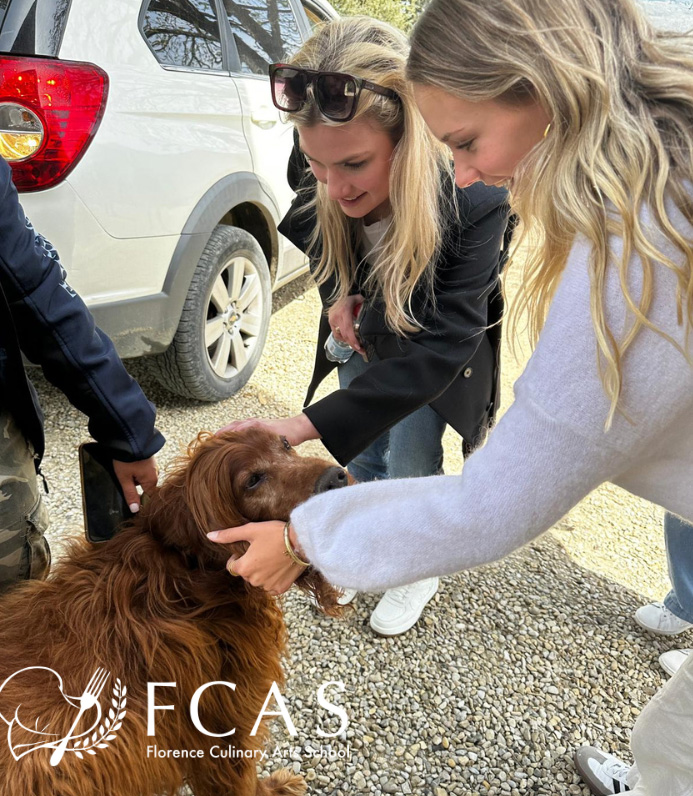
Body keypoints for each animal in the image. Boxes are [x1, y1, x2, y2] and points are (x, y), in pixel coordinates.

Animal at [0, 430, 346, 796]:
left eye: (285, 444)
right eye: (252, 480)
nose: (337, 478)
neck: (188, 566)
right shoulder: (222, 724)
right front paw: (275, 787)